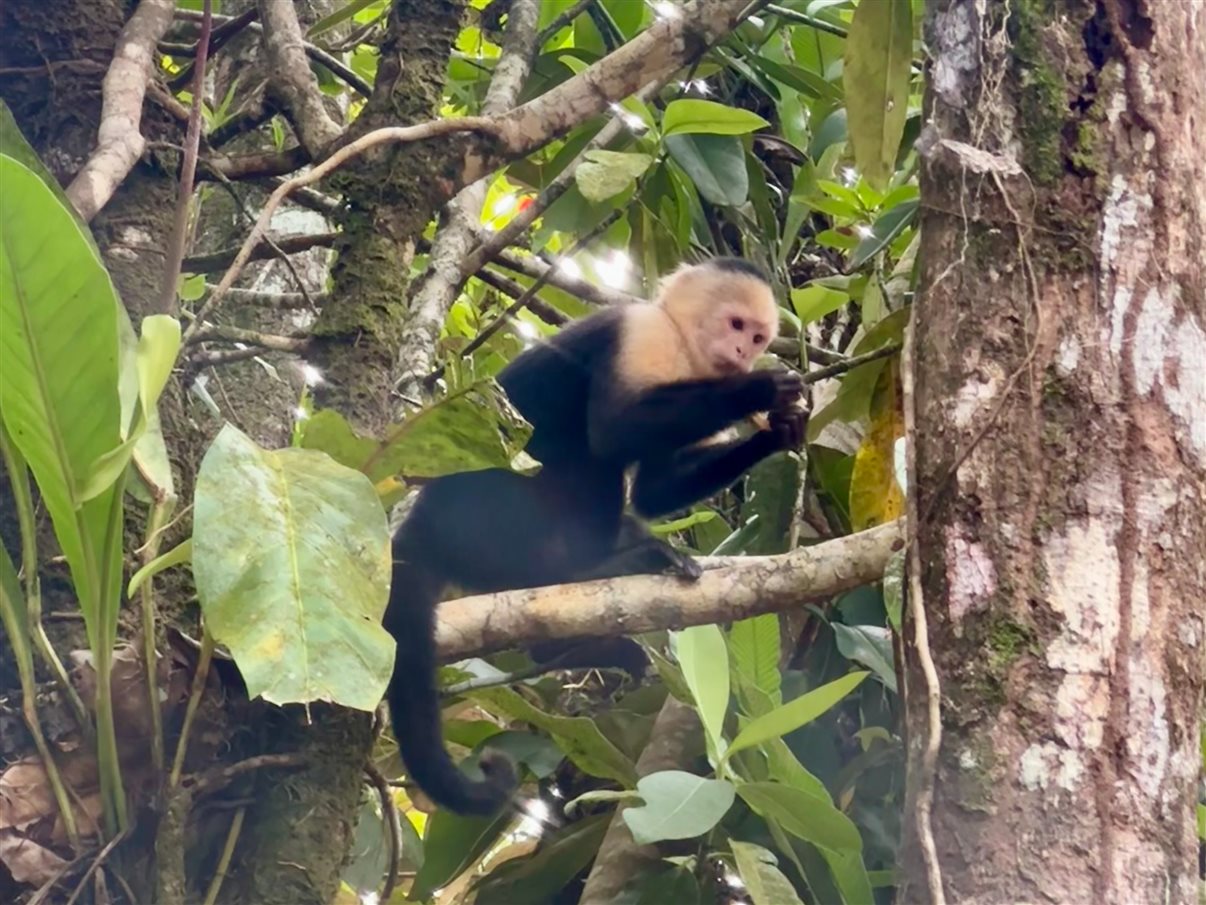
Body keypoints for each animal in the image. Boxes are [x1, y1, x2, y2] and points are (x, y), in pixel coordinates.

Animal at [381, 255, 805, 815]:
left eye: (758, 336)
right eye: (736, 326)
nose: (743, 353)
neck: (683, 342)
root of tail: (424, 514)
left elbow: (655, 491)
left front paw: (778, 432)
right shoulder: (644, 334)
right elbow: (614, 430)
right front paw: (759, 390)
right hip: (495, 510)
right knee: (586, 460)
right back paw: (601, 567)